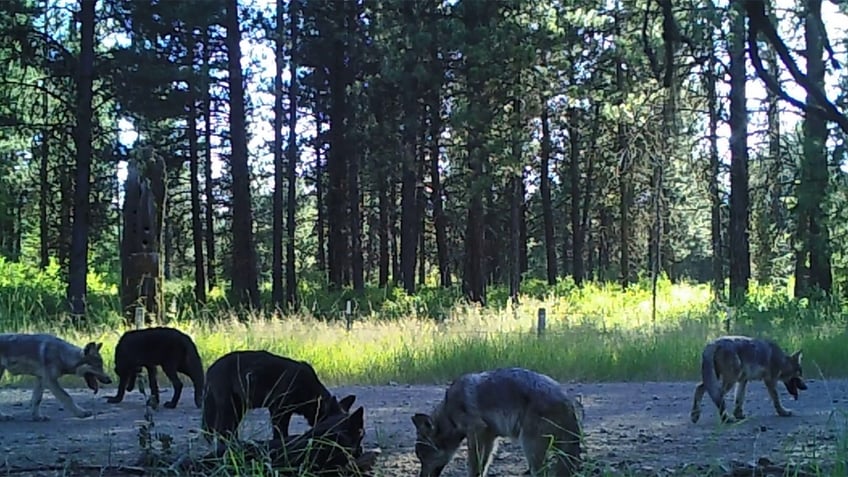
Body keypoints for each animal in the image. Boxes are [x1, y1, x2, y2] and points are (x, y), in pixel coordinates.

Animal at [202, 348, 358, 440]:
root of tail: (210, 369)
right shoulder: (278, 411)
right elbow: (280, 433)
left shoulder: (286, 412)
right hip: (228, 406)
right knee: (222, 429)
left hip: (239, 408)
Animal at [410, 366, 584, 474]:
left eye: (423, 457)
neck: (448, 414)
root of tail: (568, 402)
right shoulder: (489, 438)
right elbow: (482, 466)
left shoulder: (477, 432)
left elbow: (474, 466)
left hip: (530, 447)